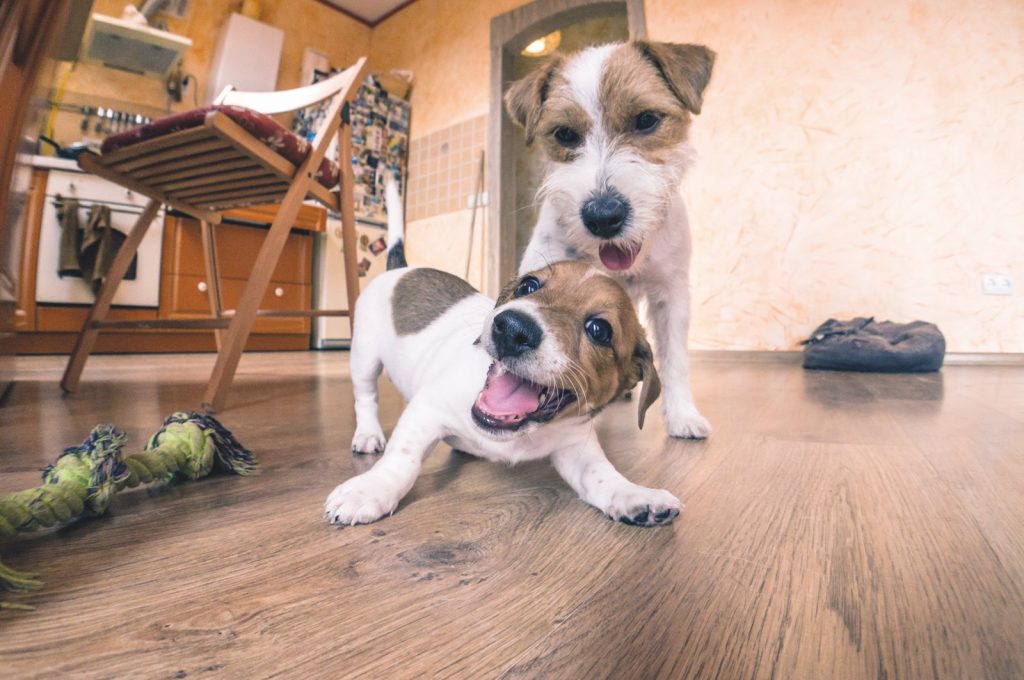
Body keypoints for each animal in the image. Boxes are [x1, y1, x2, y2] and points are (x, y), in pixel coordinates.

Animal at [323, 184, 679, 524]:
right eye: (528, 286)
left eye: (599, 330)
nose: (511, 329)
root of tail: (400, 270)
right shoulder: (426, 410)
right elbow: (402, 459)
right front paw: (371, 489)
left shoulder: (576, 447)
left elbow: (603, 477)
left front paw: (636, 496)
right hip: (364, 357)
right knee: (366, 398)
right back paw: (368, 435)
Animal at [507, 39, 716, 438]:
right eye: (565, 134)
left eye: (647, 120)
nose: (603, 217)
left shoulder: (671, 295)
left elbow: (674, 358)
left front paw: (682, 415)